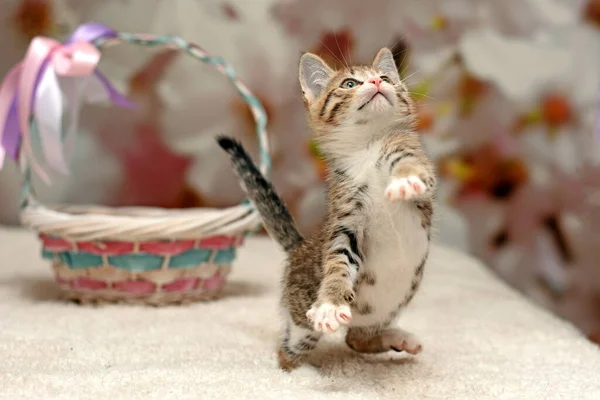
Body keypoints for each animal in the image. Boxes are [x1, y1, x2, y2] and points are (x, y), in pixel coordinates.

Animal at [218, 47, 438, 372]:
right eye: (349, 84)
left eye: (386, 78)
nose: (376, 81)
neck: (367, 149)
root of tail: (299, 246)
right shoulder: (345, 221)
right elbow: (337, 263)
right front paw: (330, 305)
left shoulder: (409, 153)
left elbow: (410, 166)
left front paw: (405, 180)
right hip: (301, 326)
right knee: (288, 351)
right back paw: (297, 373)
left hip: (383, 309)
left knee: (354, 339)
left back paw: (398, 338)